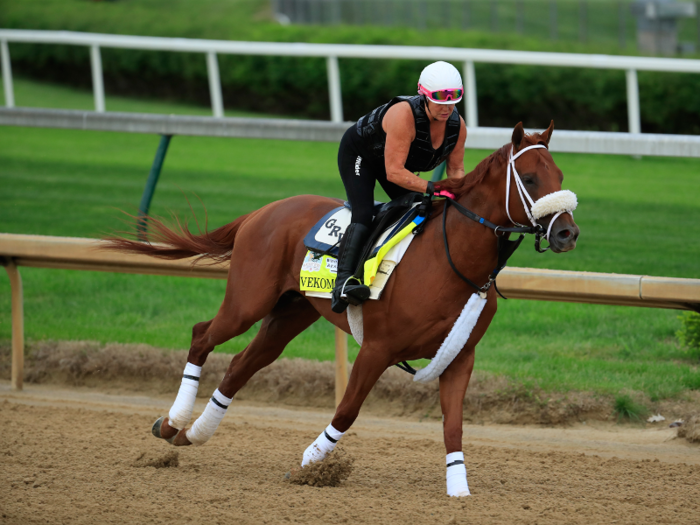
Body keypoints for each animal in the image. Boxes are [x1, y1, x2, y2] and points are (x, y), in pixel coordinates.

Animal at [104, 122, 580, 496]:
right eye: (531, 179)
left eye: (560, 174)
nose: (567, 233)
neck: (453, 261)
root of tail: (265, 210)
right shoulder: (377, 349)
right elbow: (347, 411)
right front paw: (310, 462)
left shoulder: (459, 356)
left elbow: (453, 425)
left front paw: (458, 489)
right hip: (247, 301)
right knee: (203, 335)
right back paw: (173, 421)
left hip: (290, 314)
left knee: (242, 364)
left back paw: (193, 433)